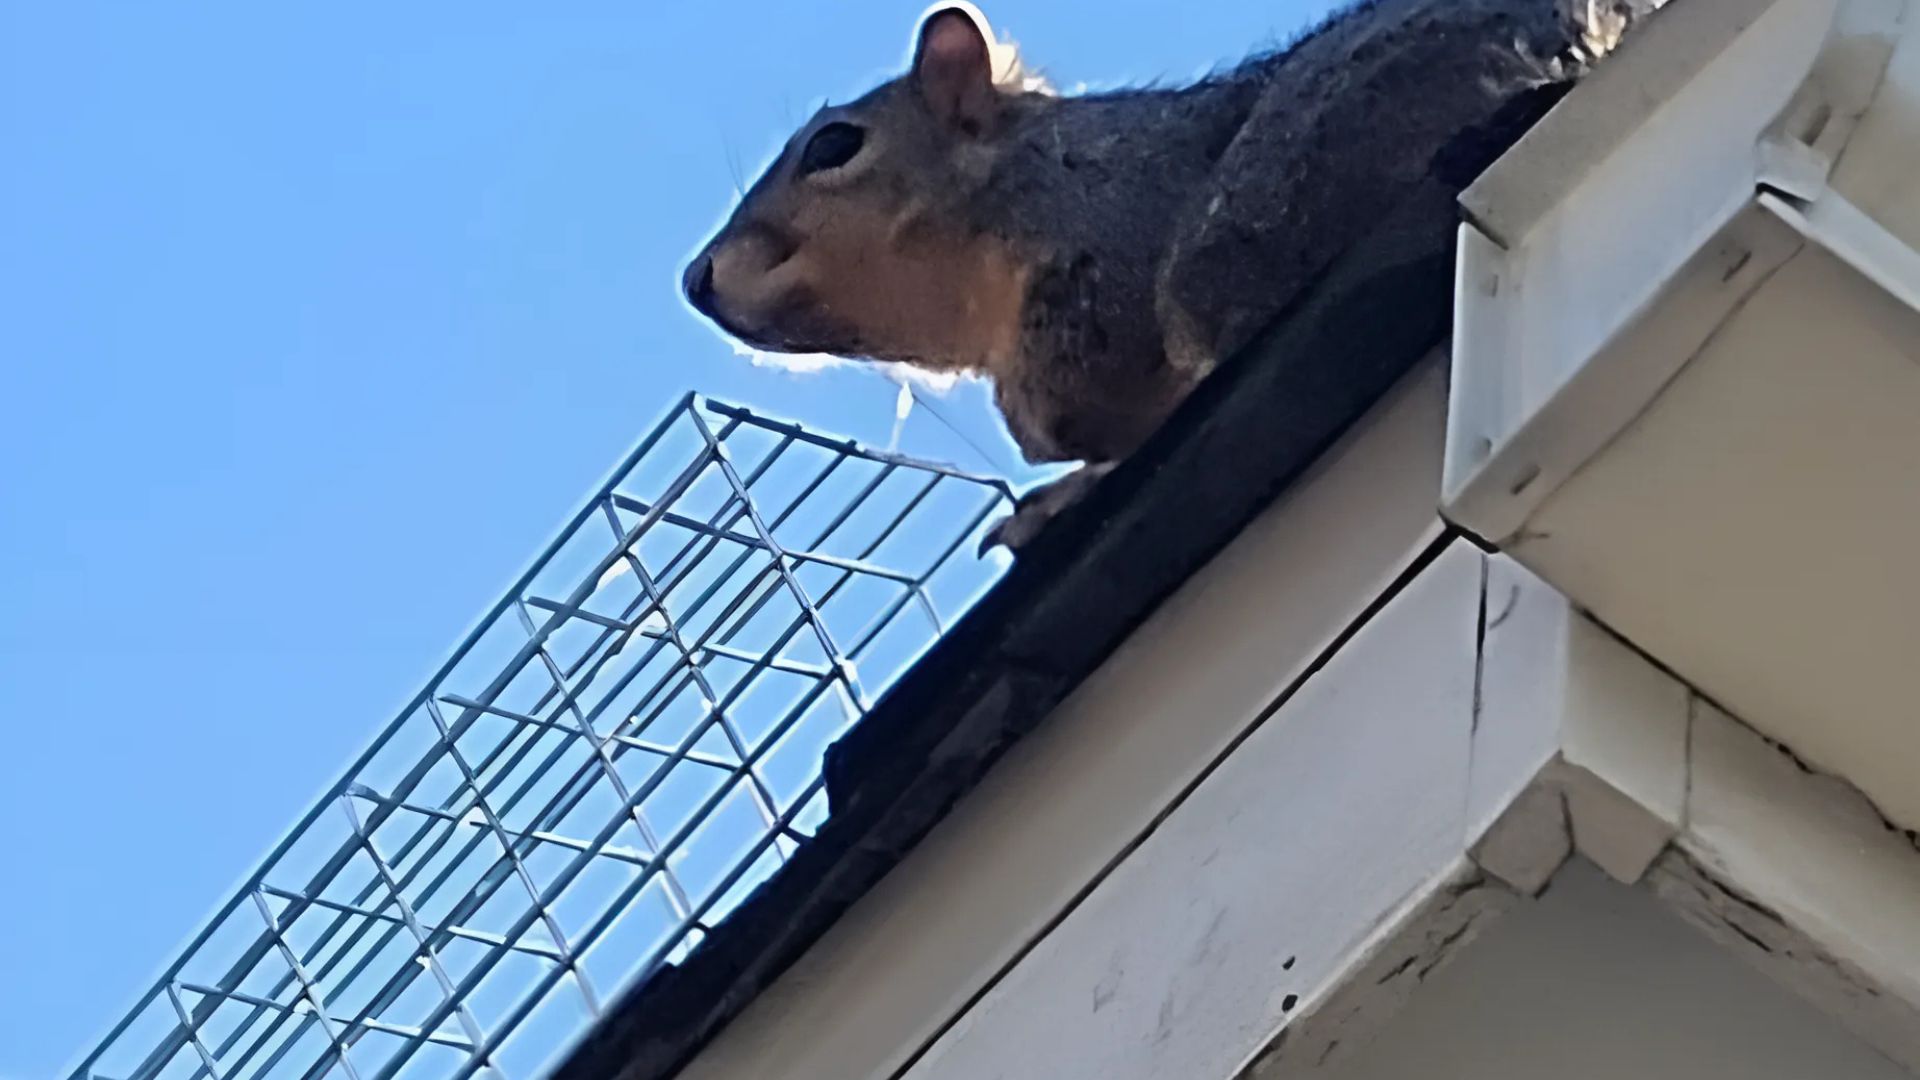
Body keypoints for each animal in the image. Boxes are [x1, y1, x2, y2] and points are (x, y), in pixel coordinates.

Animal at [683, 0, 1662, 552]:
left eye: (833, 146)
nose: (697, 278)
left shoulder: (1104, 246)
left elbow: (1080, 397)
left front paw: (1055, 456)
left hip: (1252, 223)